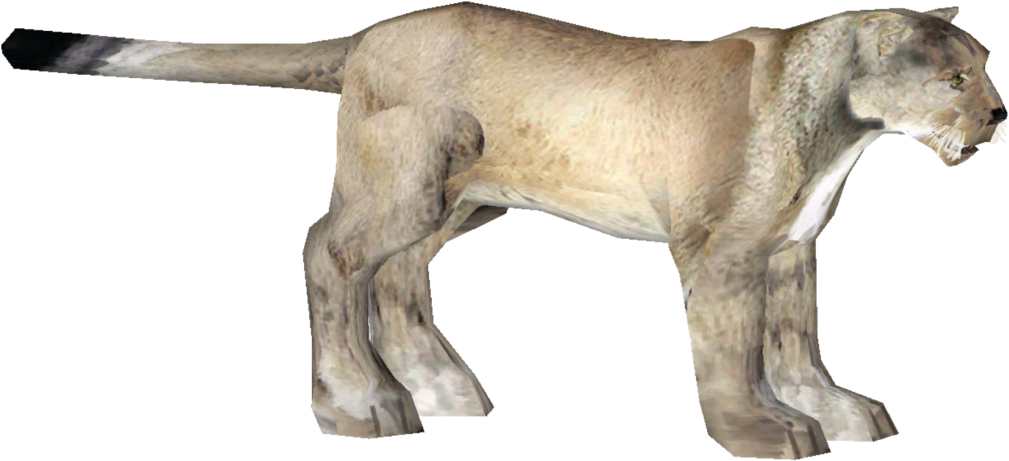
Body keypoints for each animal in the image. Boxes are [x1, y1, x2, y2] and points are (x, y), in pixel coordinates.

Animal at [5, 3, 1002, 457]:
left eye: (987, 65)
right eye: (953, 77)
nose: (999, 115)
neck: (844, 121)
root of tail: (369, 33)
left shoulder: (791, 249)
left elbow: (798, 342)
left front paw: (833, 408)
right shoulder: (720, 253)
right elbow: (734, 350)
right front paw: (758, 427)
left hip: (458, 200)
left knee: (396, 276)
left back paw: (440, 386)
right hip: (406, 181)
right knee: (329, 250)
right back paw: (358, 404)